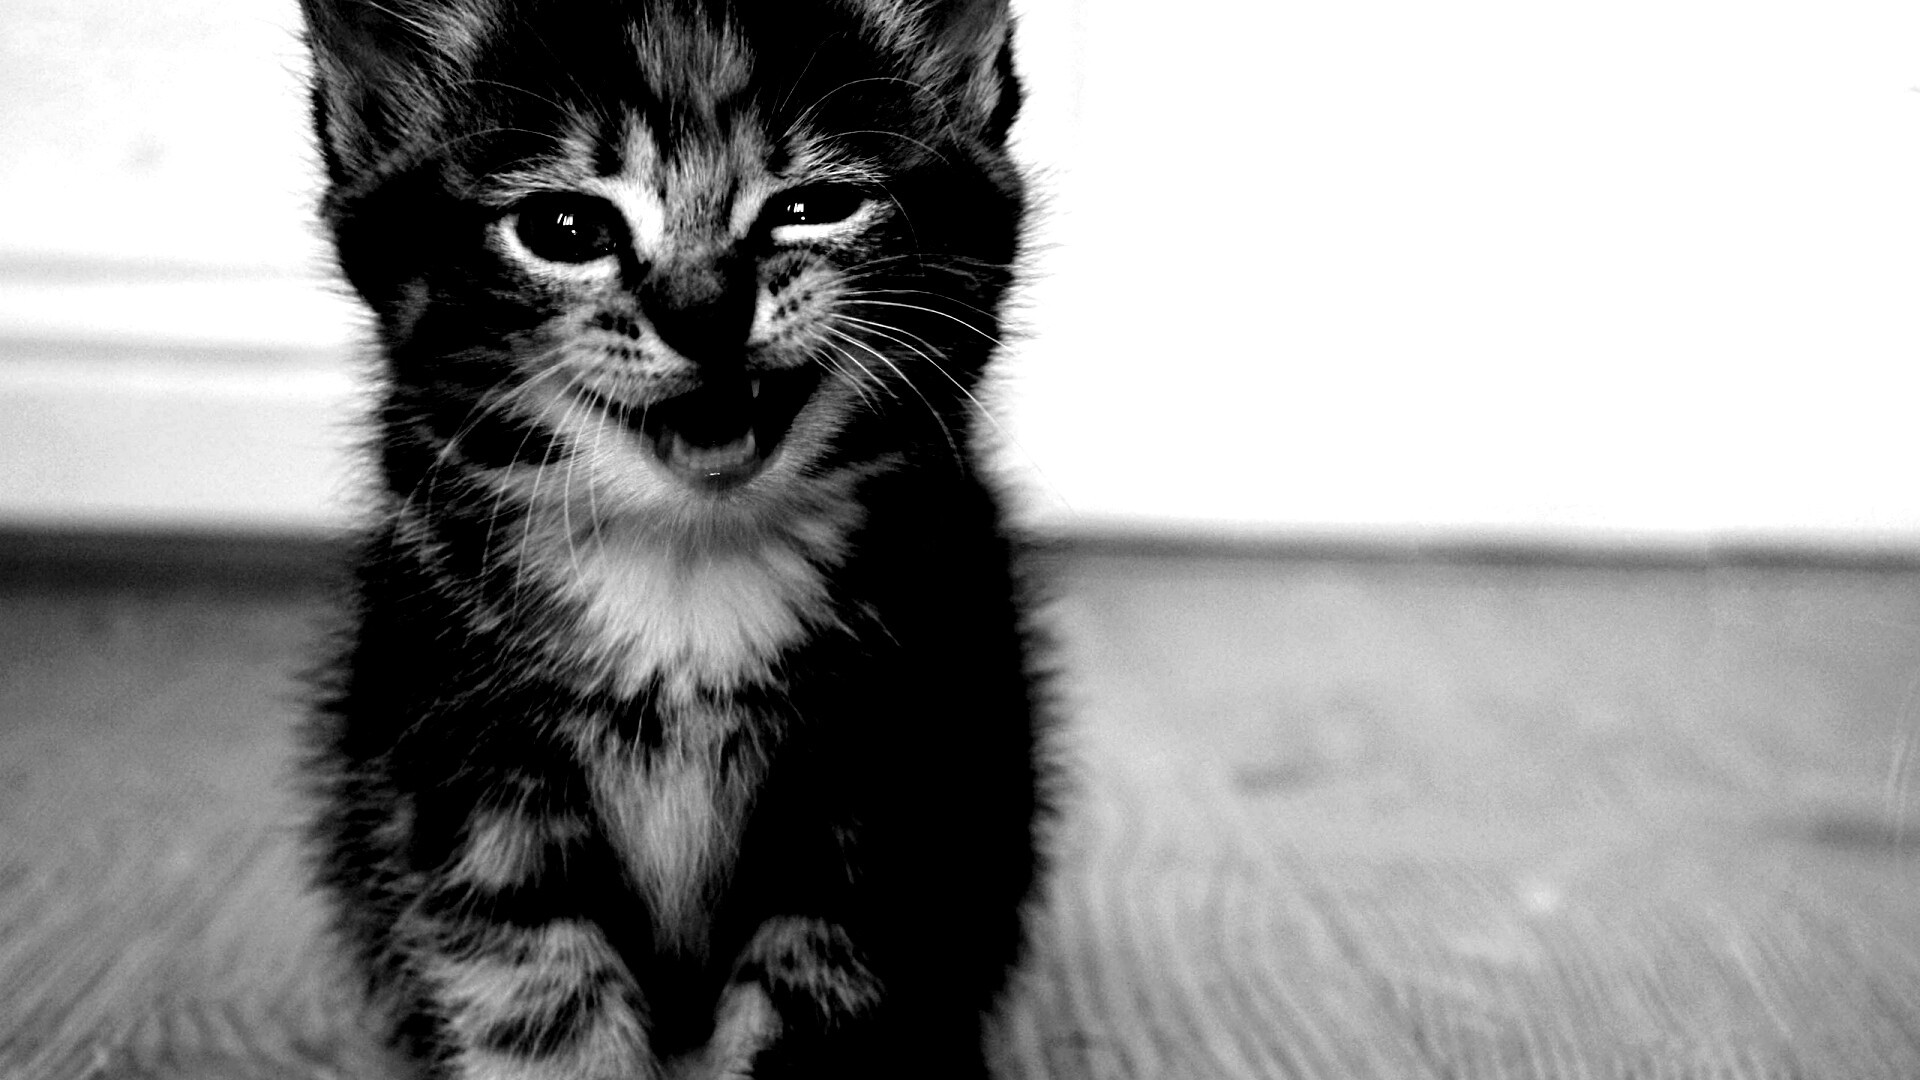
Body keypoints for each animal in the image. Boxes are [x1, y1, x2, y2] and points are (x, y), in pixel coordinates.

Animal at [295, 1, 1051, 1077]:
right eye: (565, 229)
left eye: (814, 206)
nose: (704, 311)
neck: (687, 562)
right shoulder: (462, 768)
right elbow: (535, 992)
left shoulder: (885, 771)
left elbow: (812, 1000)